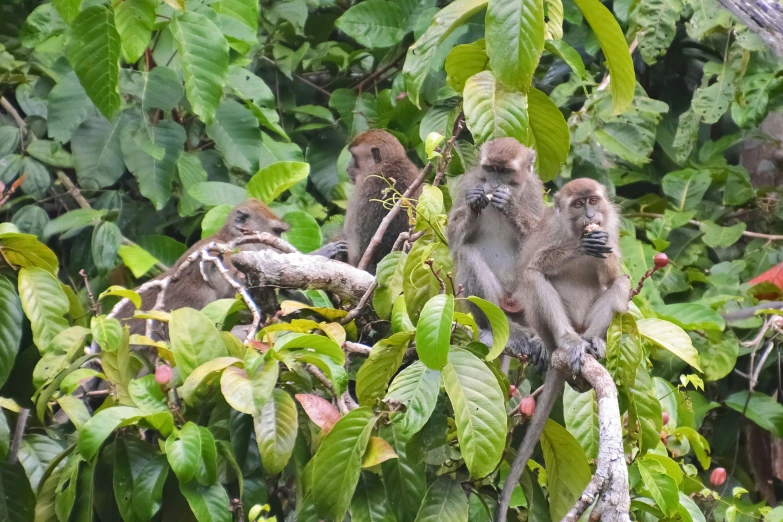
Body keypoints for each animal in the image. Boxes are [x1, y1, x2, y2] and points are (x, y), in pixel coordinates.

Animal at [444, 138, 548, 366]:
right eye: (491, 169)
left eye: (505, 171)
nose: (493, 185)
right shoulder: (470, 182)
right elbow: (454, 237)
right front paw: (473, 204)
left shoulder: (533, 190)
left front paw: (509, 206)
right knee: (466, 253)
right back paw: (505, 331)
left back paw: (541, 339)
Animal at [500, 179, 632, 520]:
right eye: (578, 204)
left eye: (593, 201)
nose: (590, 215)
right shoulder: (551, 229)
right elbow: (533, 265)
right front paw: (580, 247)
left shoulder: (611, 222)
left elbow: (613, 275)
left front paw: (598, 242)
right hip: (553, 328)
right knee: (534, 277)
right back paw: (568, 343)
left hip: (585, 323)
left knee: (621, 282)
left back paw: (593, 342)